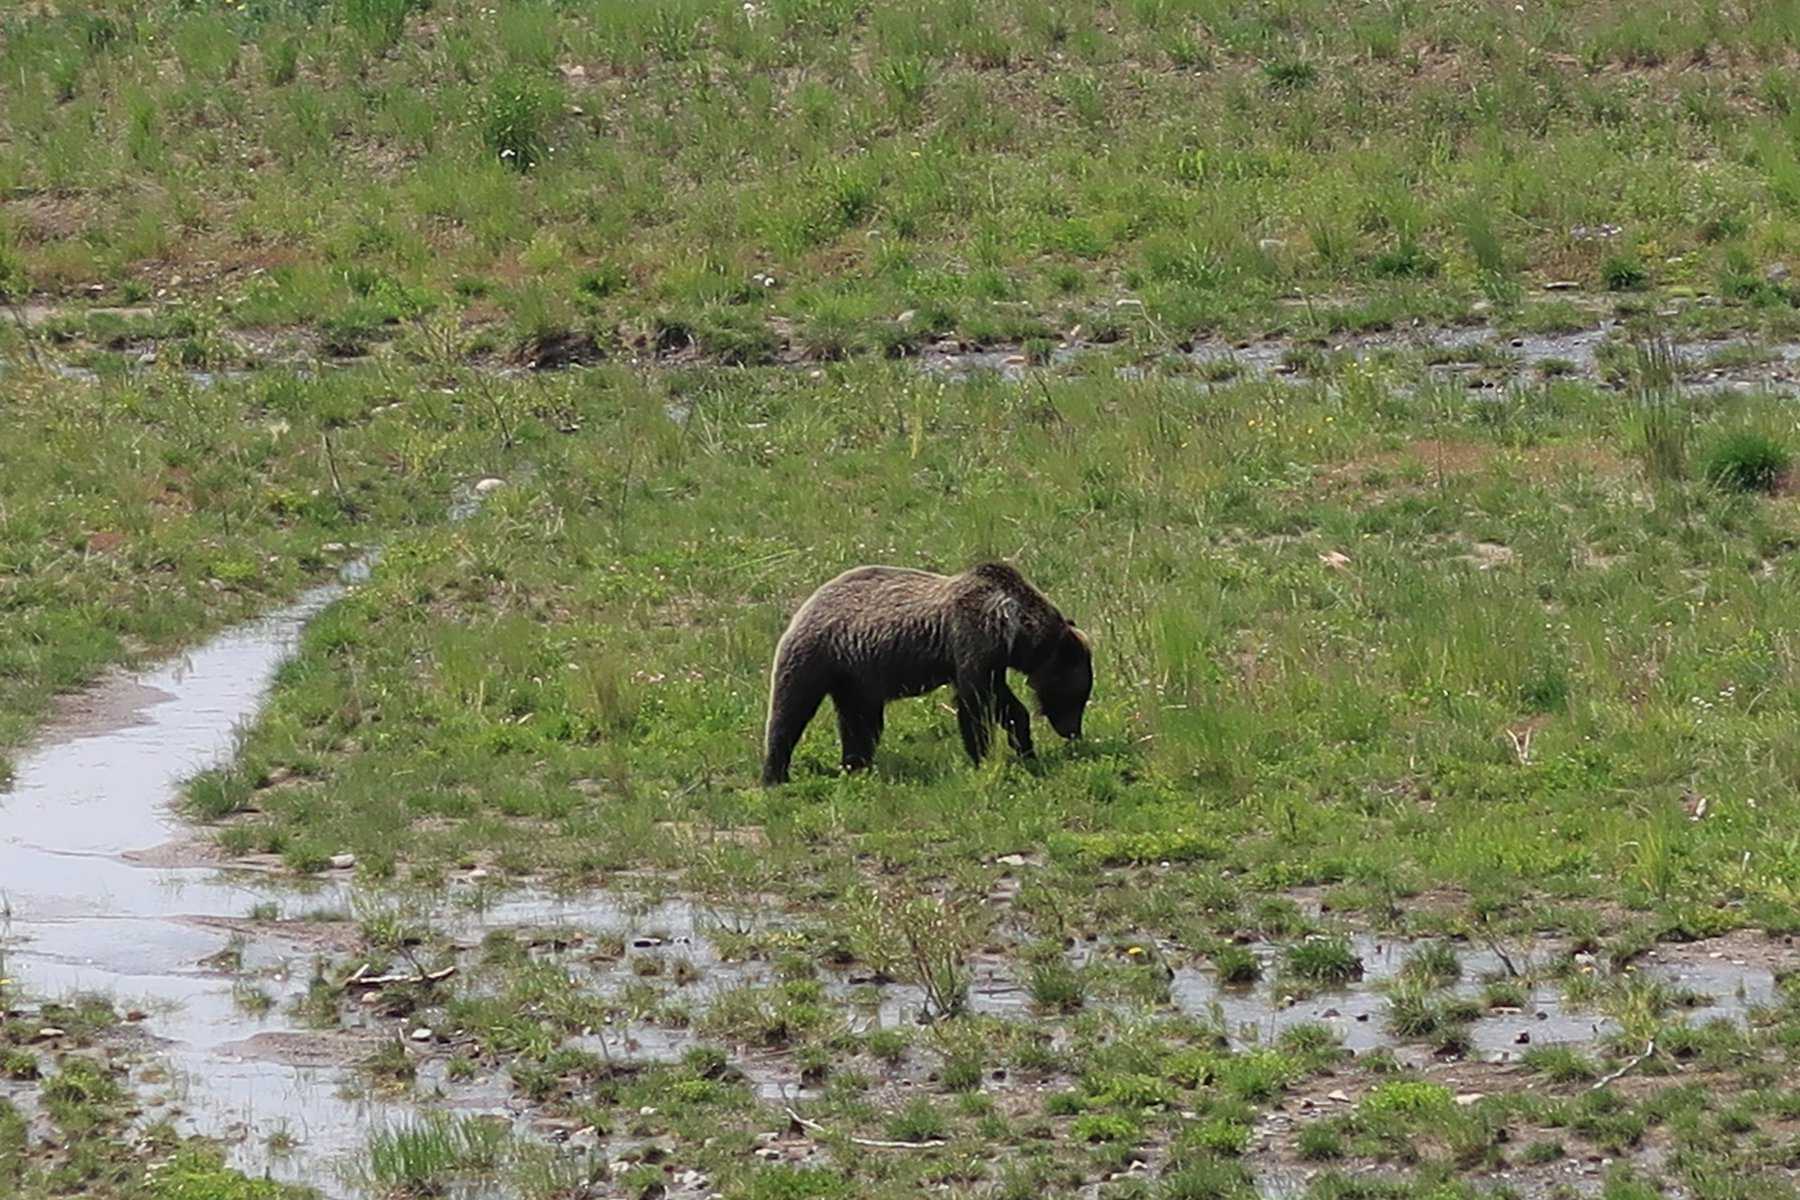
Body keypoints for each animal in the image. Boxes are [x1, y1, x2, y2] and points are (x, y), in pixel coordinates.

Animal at [763, 564, 1094, 788]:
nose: (1073, 732)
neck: (1015, 629)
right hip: (818, 656)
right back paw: (775, 774)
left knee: (860, 722)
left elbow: (1006, 704)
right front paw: (982, 757)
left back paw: (856, 765)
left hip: (857, 677)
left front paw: (1025, 748)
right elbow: (974, 704)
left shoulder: (992, 661)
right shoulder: (972, 641)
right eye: (1078, 696)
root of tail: (804, 606)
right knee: (790, 711)